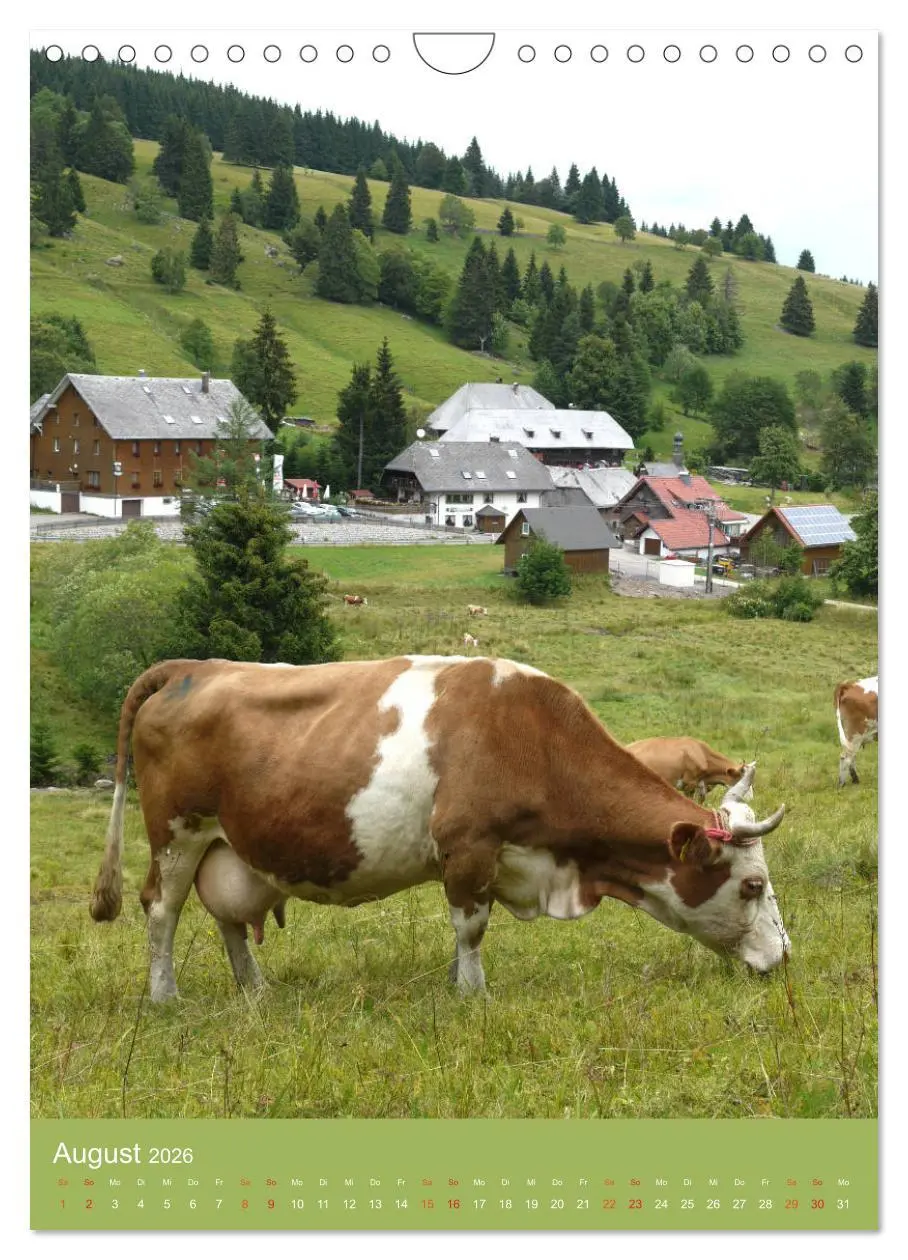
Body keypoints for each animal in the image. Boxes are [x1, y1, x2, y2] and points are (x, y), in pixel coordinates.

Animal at [90, 656, 789, 1003]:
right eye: (752, 886)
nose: (784, 958)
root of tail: (195, 666)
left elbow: (467, 930)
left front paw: (459, 984)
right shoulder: (469, 846)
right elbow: (471, 927)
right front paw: (472, 996)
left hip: (226, 846)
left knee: (229, 917)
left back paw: (256, 993)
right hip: (177, 832)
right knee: (161, 910)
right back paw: (165, 997)